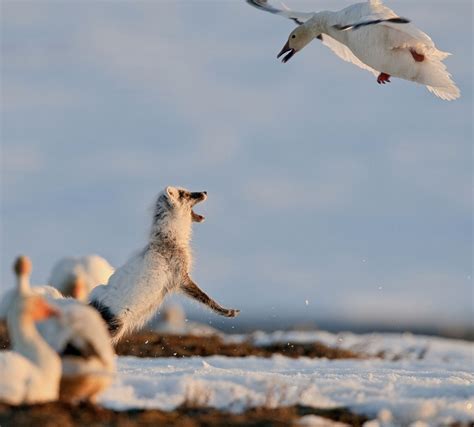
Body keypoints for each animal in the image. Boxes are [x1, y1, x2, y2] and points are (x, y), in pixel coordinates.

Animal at [88, 187, 239, 344]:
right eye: (184, 194)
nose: (205, 192)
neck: (168, 239)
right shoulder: (181, 277)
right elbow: (205, 298)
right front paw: (228, 312)